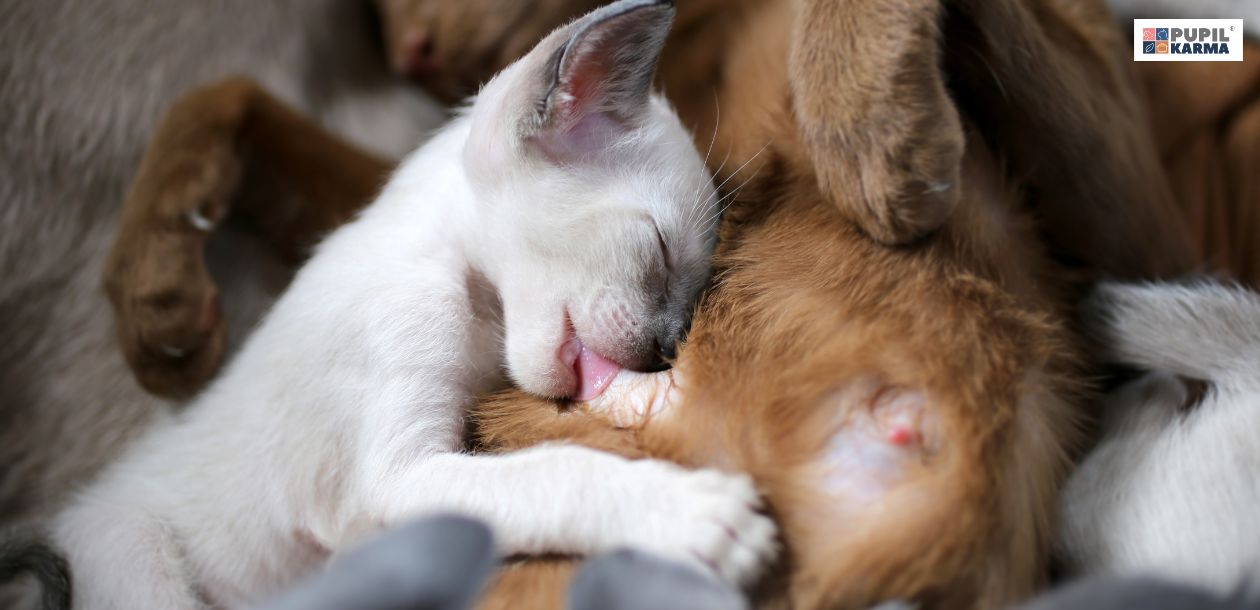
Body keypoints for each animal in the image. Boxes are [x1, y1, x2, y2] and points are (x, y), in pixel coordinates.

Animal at [24, 2, 776, 607]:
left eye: (693, 291)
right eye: (659, 250)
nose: (667, 348)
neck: (477, 312)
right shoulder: (399, 478)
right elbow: (558, 472)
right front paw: (697, 516)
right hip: (136, 555)